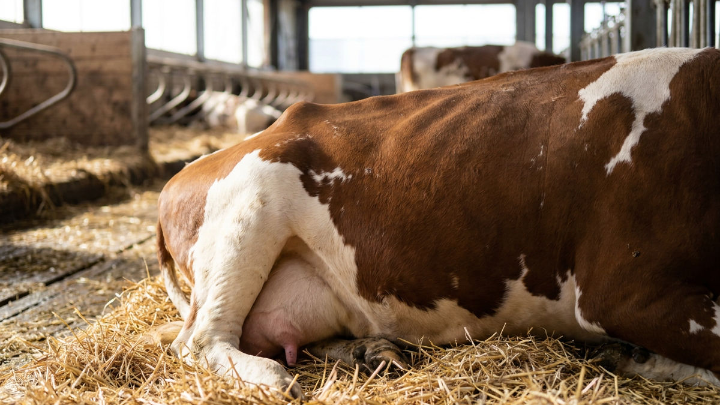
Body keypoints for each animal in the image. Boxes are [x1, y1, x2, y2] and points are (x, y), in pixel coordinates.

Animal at [155, 47, 720, 397]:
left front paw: (634, 358)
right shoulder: (624, 291)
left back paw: (373, 351)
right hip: (247, 212)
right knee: (200, 340)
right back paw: (274, 379)